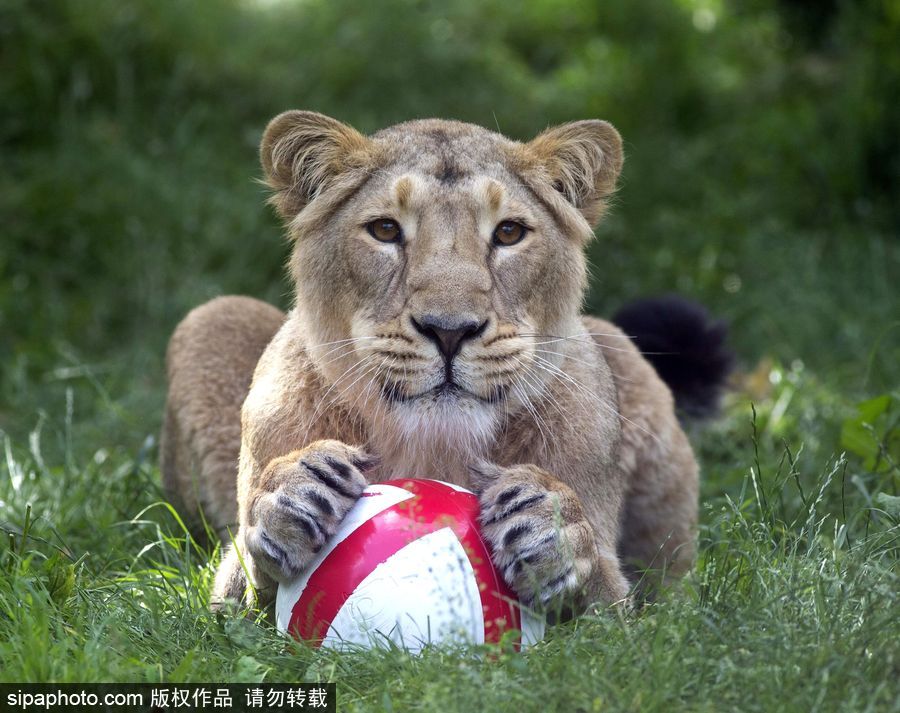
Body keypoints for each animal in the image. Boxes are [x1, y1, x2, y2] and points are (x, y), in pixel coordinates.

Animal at [160, 108, 732, 616]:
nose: (450, 330)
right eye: (385, 230)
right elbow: (241, 580)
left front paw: (550, 526)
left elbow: (605, 598)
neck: (434, 447)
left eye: (508, 233)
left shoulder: (617, 612)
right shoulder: (227, 587)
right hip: (213, 316)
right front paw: (295, 494)